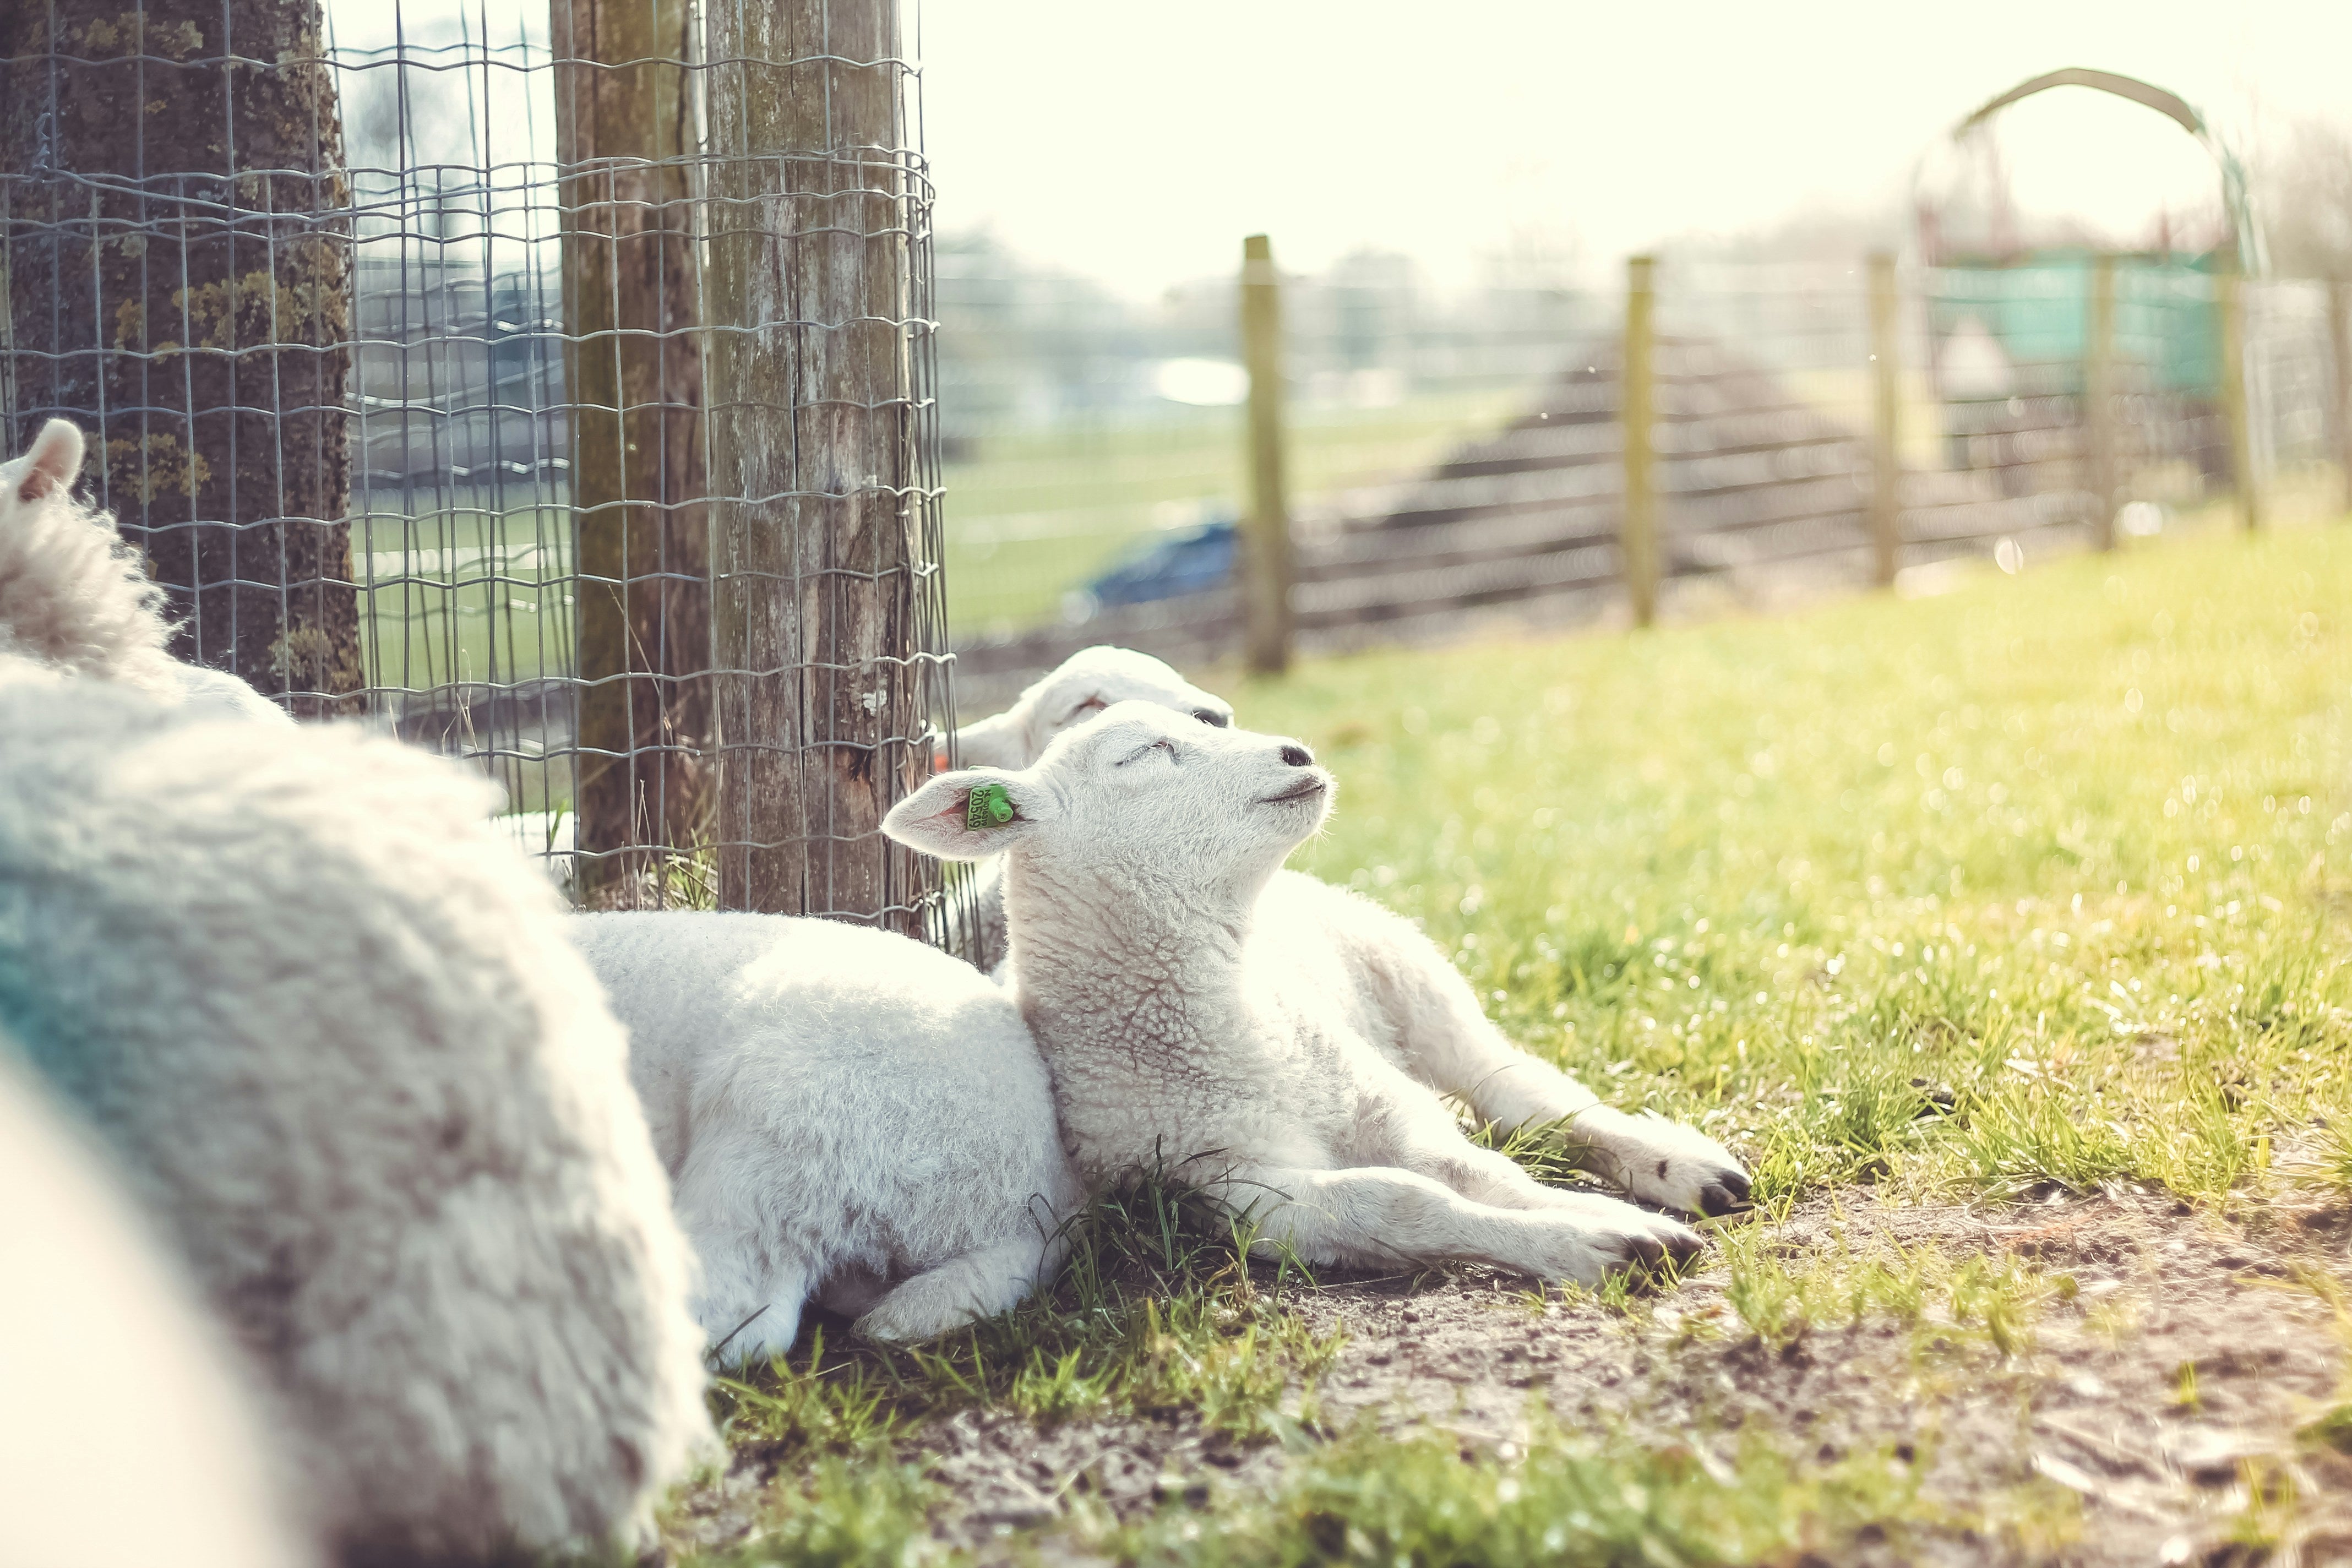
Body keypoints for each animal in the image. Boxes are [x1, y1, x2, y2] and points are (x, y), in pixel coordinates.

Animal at [884, 700, 1731, 1288]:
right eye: (1145, 753)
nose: (1298, 752)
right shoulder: (1227, 1188)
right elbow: (1404, 1201)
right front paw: (1599, 1242)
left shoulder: (1380, 1100)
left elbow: (1479, 1173)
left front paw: (1607, 1219)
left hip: (1408, 969)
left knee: (1521, 1094)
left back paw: (1685, 1168)